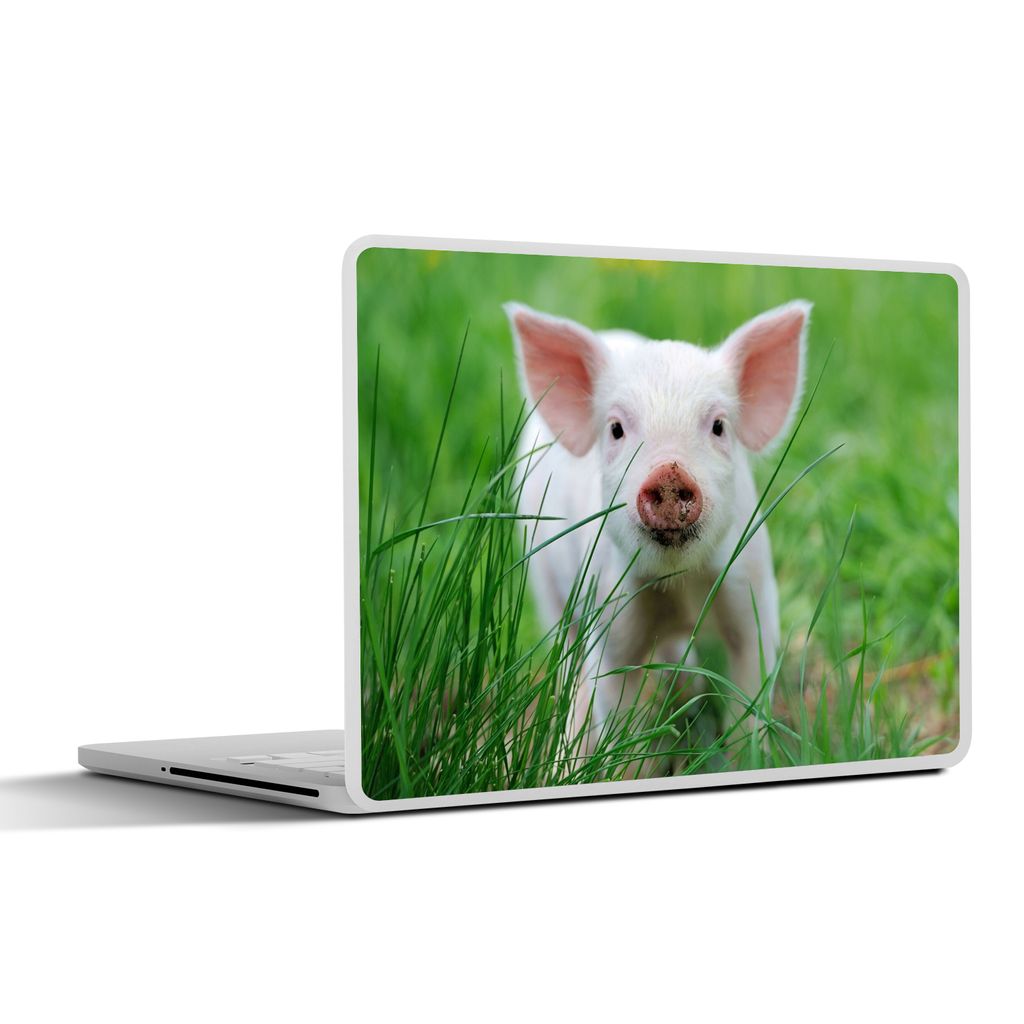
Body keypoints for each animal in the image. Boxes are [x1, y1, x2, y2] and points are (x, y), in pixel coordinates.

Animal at [505, 299, 811, 774]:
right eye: (615, 429)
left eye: (719, 426)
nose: (669, 473)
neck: (678, 583)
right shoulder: (608, 613)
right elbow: (616, 709)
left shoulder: (754, 594)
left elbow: (748, 693)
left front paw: (744, 761)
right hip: (545, 581)